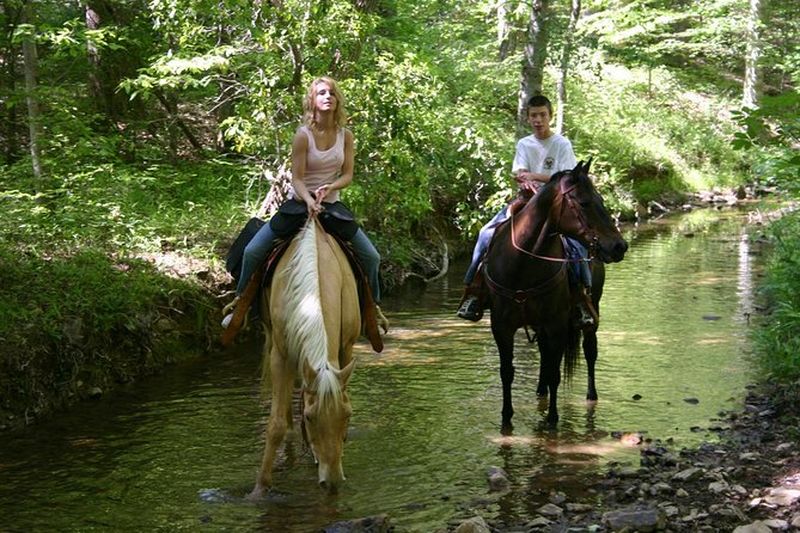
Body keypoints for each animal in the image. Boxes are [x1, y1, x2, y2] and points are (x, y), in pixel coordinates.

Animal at [249, 217, 361, 497]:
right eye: (310, 418)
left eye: (347, 415)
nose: (332, 481)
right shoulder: (280, 355)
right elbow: (275, 424)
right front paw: (260, 488)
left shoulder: (346, 347)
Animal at [483, 159, 627, 430]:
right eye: (584, 203)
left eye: (601, 199)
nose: (619, 246)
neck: (523, 263)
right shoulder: (502, 326)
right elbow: (507, 372)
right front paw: (506, 418)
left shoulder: (556, 324)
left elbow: (555, 372)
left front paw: (552, 420)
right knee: (544, 356)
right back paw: (540, 392)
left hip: (592, 309)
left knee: (589, 350)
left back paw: (591, 396)